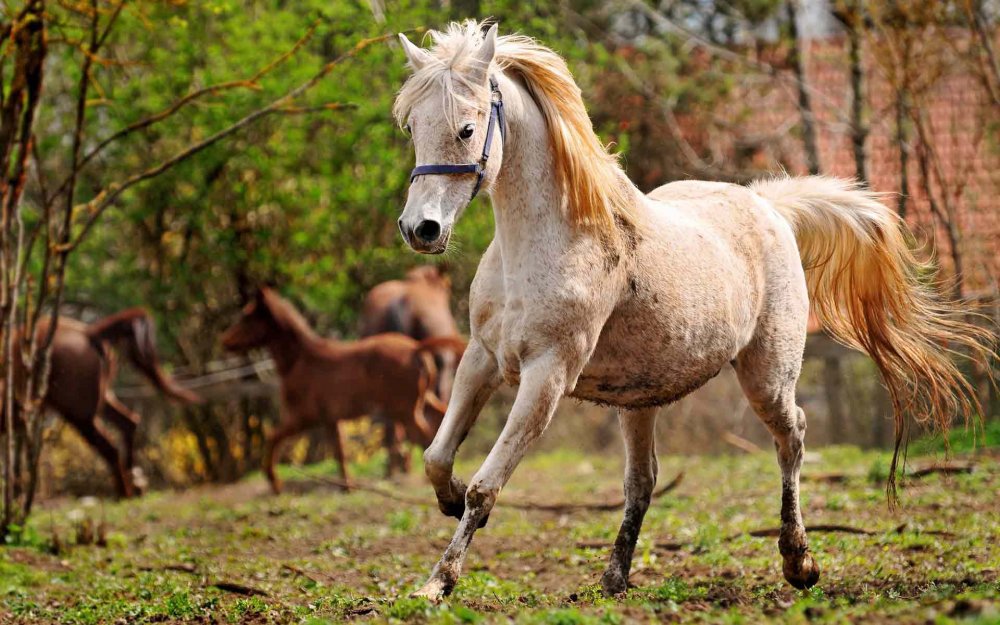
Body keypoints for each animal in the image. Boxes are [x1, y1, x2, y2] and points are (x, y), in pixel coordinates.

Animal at [6, 310, 199, 498]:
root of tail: (89, 333)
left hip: (80, 414)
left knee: (110, 448)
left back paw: (124, 493)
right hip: (101, 401)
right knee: (128, 423)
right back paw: (135, 483)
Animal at [219, 288, 460, 492]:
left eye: (247, 317)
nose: (224, 341)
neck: (300, 360)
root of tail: (416, 348)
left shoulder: (301, 417)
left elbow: (272, 438)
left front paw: (275, 483)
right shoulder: (330, 420)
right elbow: (339, 452)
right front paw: (347, 486)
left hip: (404, 410)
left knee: (425, 436)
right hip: (422, 401)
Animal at [392, 20, 992, 600]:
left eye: (467, 129)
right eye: (412, 127)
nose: (421, 230)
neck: (548, 241)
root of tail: (768, 207)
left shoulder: (547, 377)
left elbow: (485, 487)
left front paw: (437, 583)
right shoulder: (482, 359)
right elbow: (437, 457)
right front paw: (446, 503)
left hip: (767, 377)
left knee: (792, 436)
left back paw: (799, 562)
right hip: (638, 401)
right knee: (643, 481)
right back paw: (614, 579)